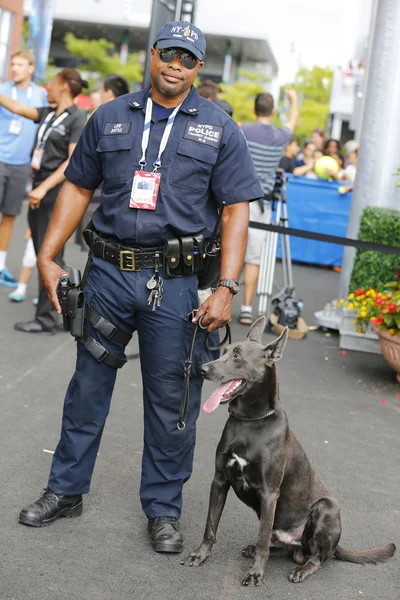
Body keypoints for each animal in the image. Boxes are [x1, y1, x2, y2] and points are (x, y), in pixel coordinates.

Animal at [183, 318, 396, 584]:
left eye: (237, 356)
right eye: (224, 351)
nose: (202, 369)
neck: (249, 421)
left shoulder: (269, 493)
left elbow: (262, 539)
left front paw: (256, 573)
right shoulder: (220, 480)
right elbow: (210, 525)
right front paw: (200, 555)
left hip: (328, 507)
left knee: (316, 558)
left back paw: (302, 569)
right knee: (280, 546)